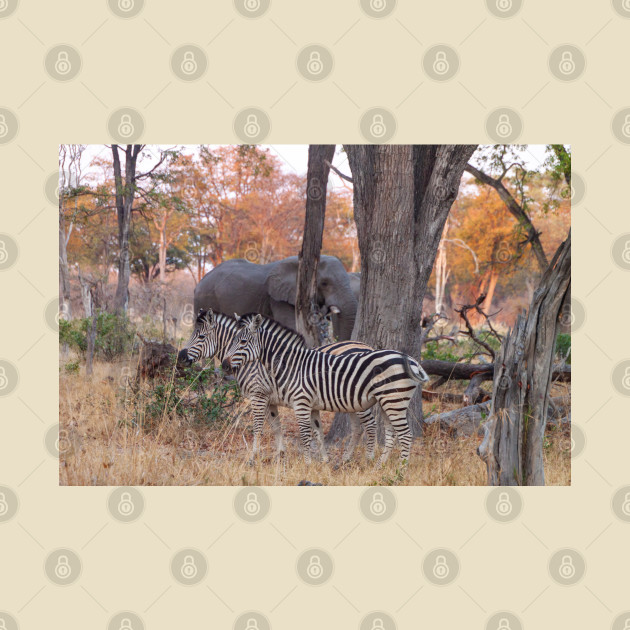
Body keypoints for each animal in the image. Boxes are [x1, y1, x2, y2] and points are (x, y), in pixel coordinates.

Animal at [175, 312, 378, 464]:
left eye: (201, 337)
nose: (181, 358)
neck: (253, 360)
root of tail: (368, 346)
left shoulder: (258, 395)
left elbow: (258, 427)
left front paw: (253, 458)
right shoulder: (270, 399)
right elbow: (276, 426)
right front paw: (280, 454)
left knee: (370, 425)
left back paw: (370, 459)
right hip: (350, 401)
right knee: (357, 428)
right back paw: (346, 459)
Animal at [221, 314, 430, 466]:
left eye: (242, 342)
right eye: (231, 341)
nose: (224, 365)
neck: (292, 365)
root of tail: (411, 360)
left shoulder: (299, 402)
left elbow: (304, 434)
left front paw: (306, 464)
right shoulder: (309, 404)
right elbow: (315, 433)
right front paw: (320, 461)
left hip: (393, 400)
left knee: (405, 434)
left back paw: (401, 469)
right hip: (387, 401)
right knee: (391, 433)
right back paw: (379, 465)